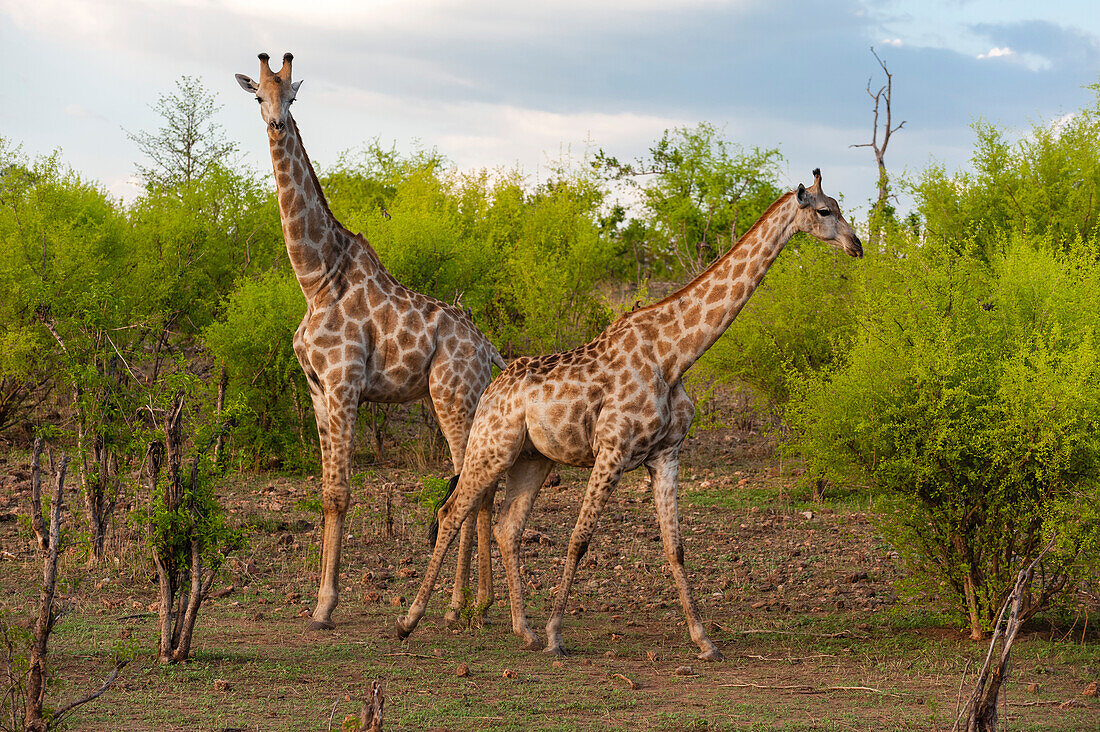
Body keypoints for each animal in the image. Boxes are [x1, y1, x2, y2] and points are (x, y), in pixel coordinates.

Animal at [238, 52, 503, 629]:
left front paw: (324, 606)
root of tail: (487, 348)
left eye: (292, 96)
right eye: (259, 96)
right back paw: (468, 602)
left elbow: (340, 492)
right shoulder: (318, 390)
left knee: (472, 484)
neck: (315, 276)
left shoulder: (343, 385)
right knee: (472, 483)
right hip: (460, 398)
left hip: (452, 395)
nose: (276, 124)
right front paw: (320, 598)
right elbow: (324, 492)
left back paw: (465, 604)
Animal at [400, 169, 862, 656]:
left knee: (508, 527)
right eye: (824, 210)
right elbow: (579, 540)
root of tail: (492, 386)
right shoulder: (612, 450)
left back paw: (522, 629)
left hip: (533, 459)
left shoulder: (667, 455)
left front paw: (704, 640)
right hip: (491, 448)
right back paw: (411, 621)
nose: (857, 245)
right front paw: (556, 634)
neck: (674, 355)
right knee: (452, 512)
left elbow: (675, 547)